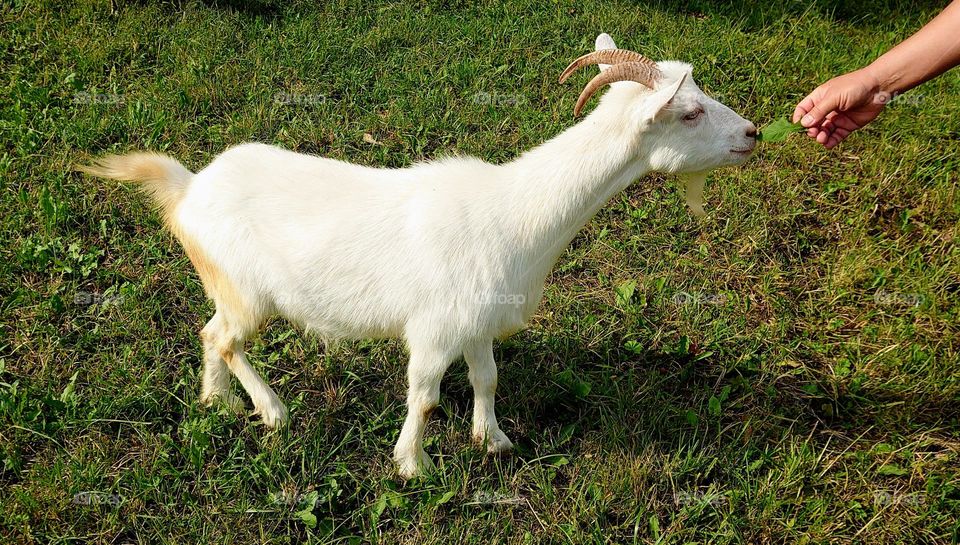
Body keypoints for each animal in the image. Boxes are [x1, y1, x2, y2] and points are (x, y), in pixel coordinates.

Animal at [81, 34, 757, 478]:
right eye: (690, 111)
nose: (752, 133)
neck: (513, 213)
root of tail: (189, 188)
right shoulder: (434, 328)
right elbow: (425, 396)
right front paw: (414, 465)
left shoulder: (478, 320)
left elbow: (487, 376)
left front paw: (494, 440)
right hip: (248, 291)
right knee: (227, 338)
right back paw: (272, 412)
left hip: (228, 287)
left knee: (209, 332)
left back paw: (216, 400)